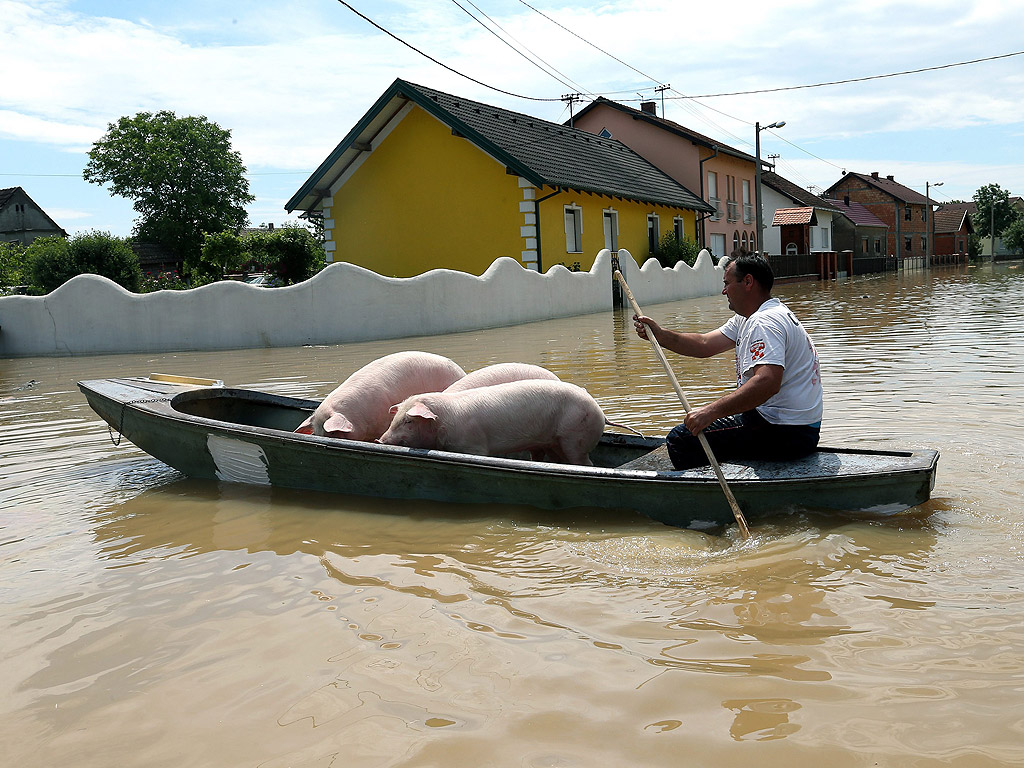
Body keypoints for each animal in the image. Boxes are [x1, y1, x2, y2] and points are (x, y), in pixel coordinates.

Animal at [378, 380, 602, 466]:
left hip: (575, 435)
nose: (380, 440)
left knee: (586, 463)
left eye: (408, 420)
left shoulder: (474, 446)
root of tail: (598, 410)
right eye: (395, 419)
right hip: (553, 442)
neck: (445, 420)